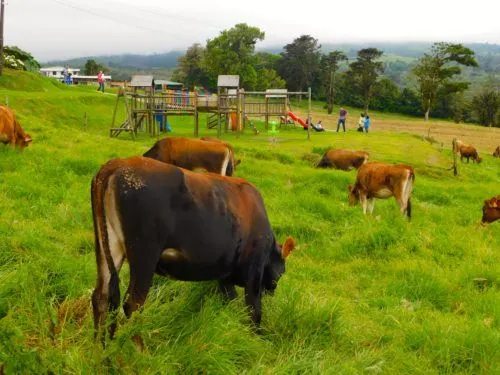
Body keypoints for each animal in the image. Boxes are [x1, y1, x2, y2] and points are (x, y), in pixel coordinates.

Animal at [91, 157, 296, 342]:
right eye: (282, 271)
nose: (272, 291)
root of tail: (117, 164)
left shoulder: (224, 273)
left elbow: (230, 300)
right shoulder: (254, 271)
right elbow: (254, 309)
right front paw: (258, 339)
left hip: (109, 246)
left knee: (101, 297)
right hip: (144, 255)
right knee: (133, 304)